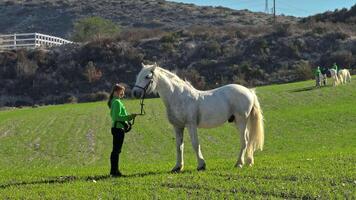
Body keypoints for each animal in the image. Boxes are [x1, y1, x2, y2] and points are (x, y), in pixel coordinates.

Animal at [132, 63, 262, 171]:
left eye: (147, 76)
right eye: (138, 75)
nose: (135, 93)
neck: (178, 97)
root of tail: (249, 91)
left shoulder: (191, 125)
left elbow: (195, 144)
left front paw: (201, 165)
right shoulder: (178, 127)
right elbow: (179, 146)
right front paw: (177, 167)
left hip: (241, 121)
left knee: (244, 141)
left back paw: (239, 163)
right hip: (238, 122)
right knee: (247, 140)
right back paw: (248, 162)